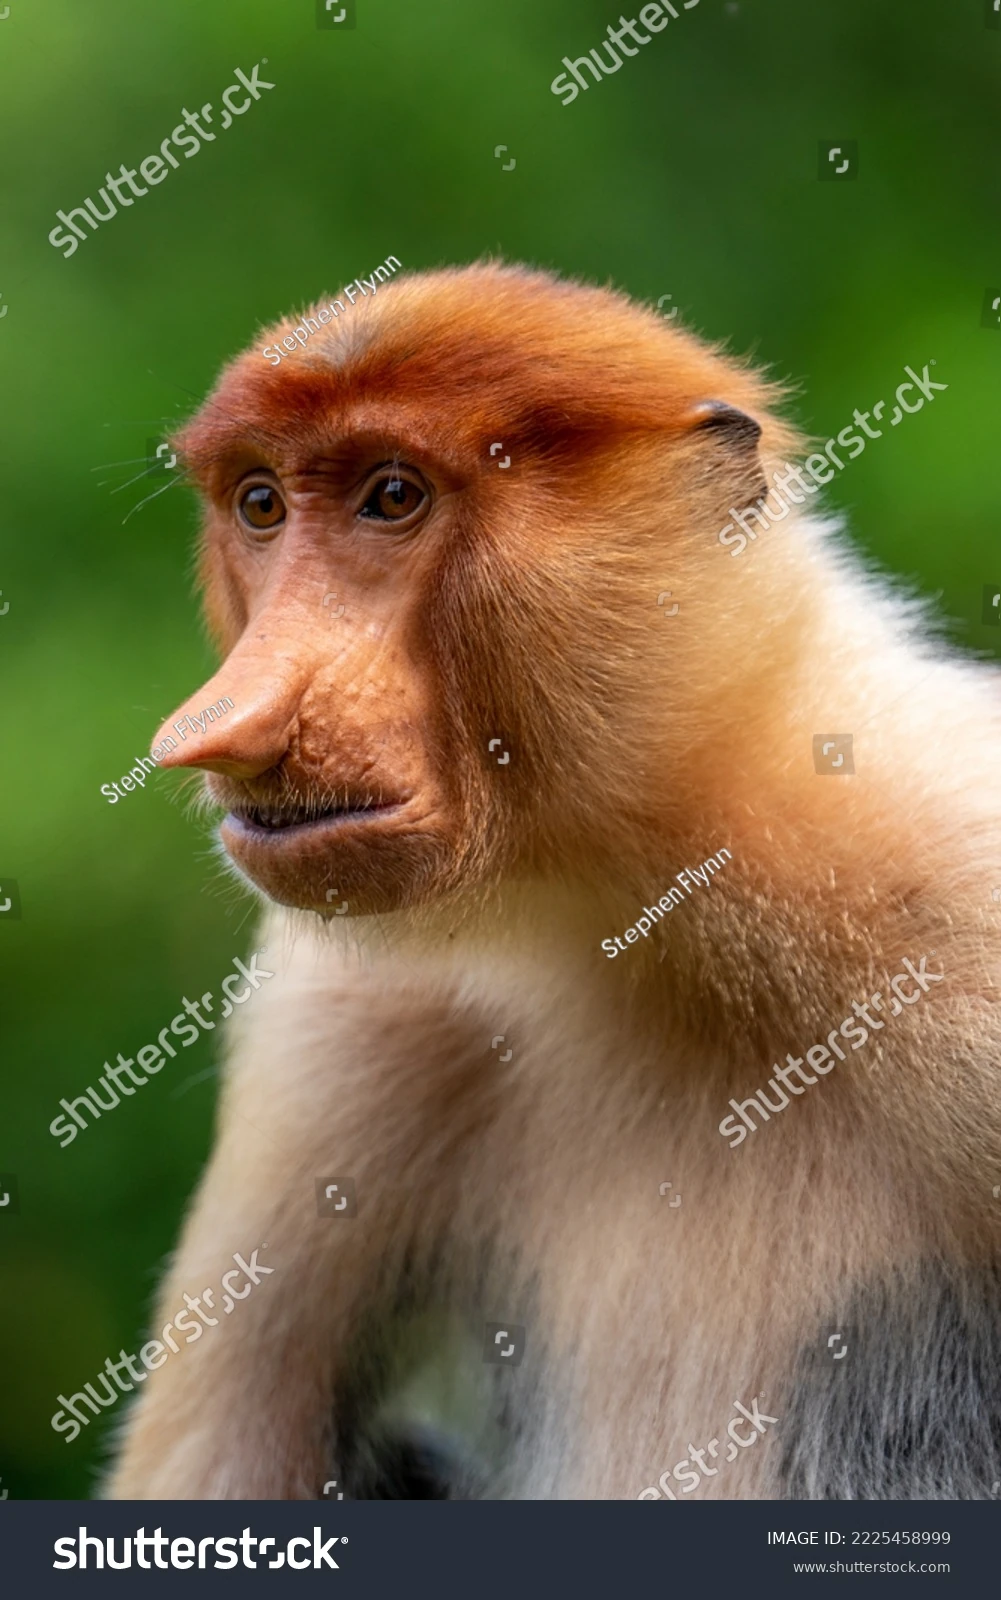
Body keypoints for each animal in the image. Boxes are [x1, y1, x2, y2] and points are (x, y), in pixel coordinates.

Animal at [106, 261, 1001, 1500]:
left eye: (391, 496)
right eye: (261, 505)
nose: (220, 726)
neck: (662, 924)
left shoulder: (962, 905)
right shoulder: (343, 1019)